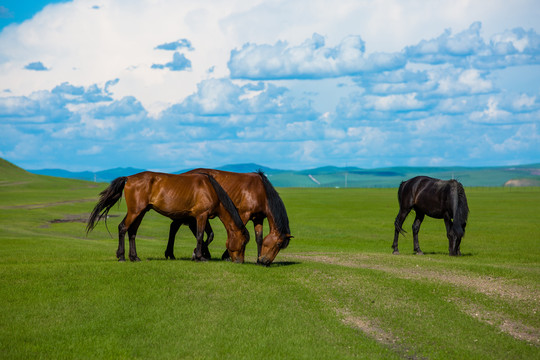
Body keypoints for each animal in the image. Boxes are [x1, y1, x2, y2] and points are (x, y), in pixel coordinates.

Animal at [87, 172, 251, 262]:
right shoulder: (201, 216)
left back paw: (134, 257)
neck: (210, 189)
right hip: (135, 211)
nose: (239, 261)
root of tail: (129, 178)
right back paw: (121, 256)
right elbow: (200, 236)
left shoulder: (201, 217)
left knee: (132, 232)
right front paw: (199, 256)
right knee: (123, 228)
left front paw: (197, 254)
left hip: (141, 212)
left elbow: (209, 235)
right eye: (243, 243)